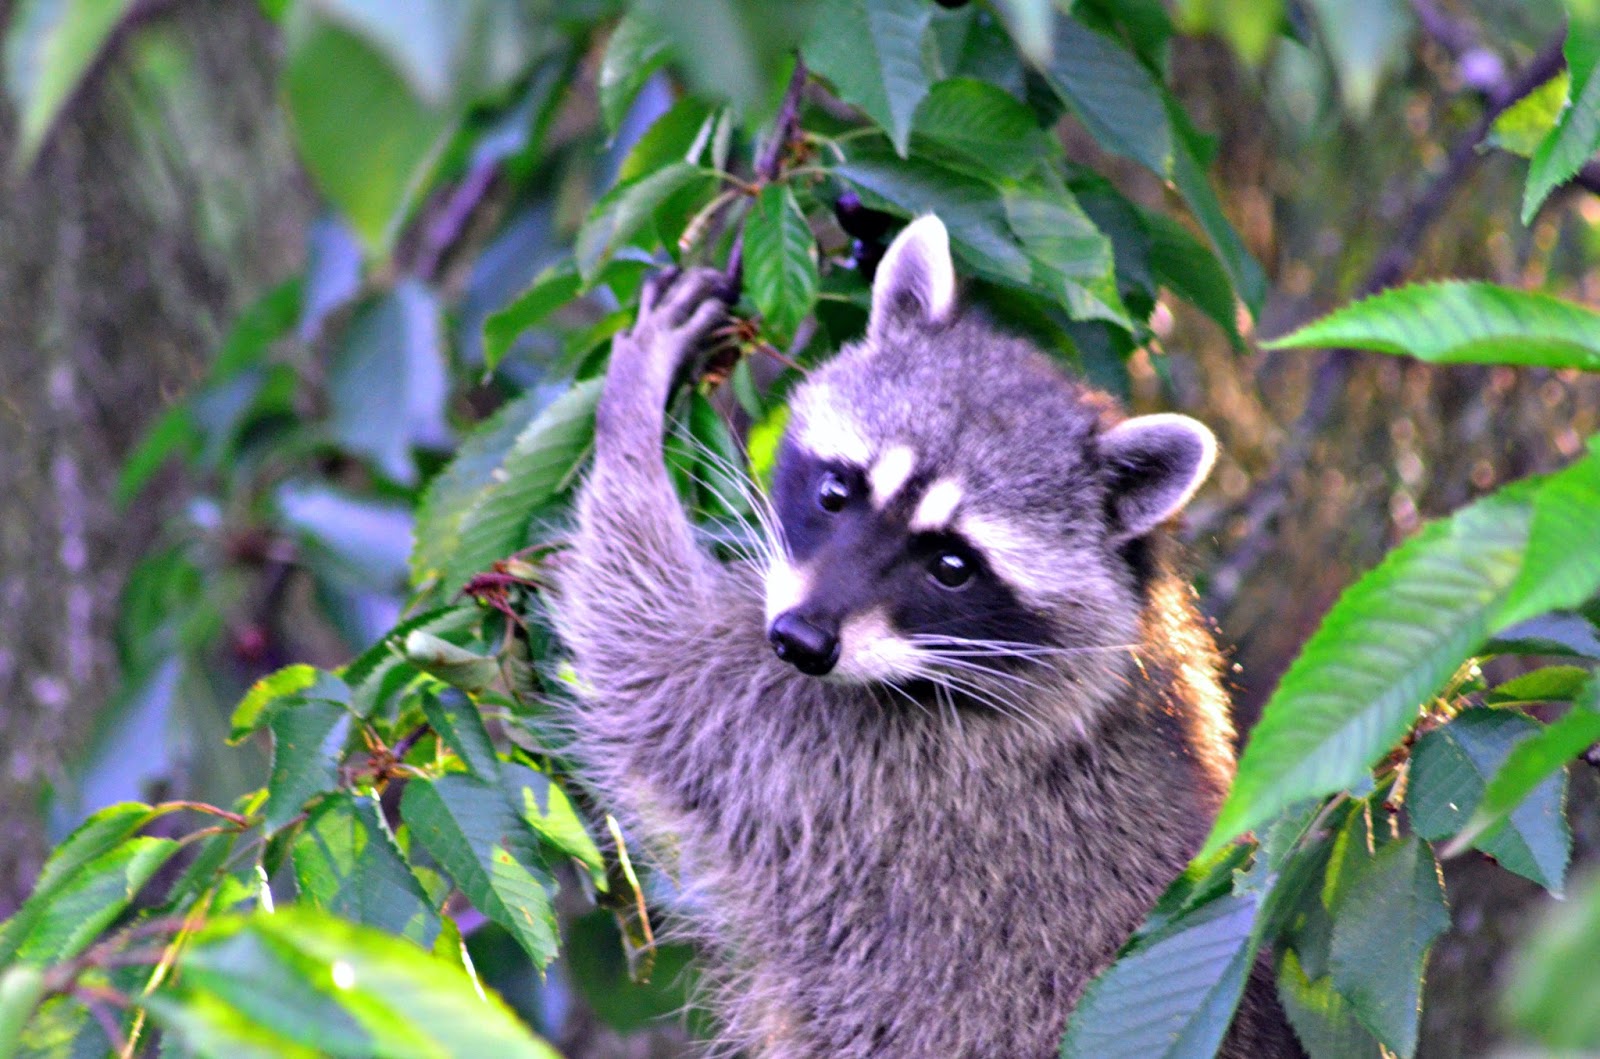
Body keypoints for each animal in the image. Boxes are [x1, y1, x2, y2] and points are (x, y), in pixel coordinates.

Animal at [550, 217, 1299, 1059]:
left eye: (951, 565)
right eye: (836, 491)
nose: (800, 641)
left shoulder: (858, 768)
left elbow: (643, 644)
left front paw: (630, 413)